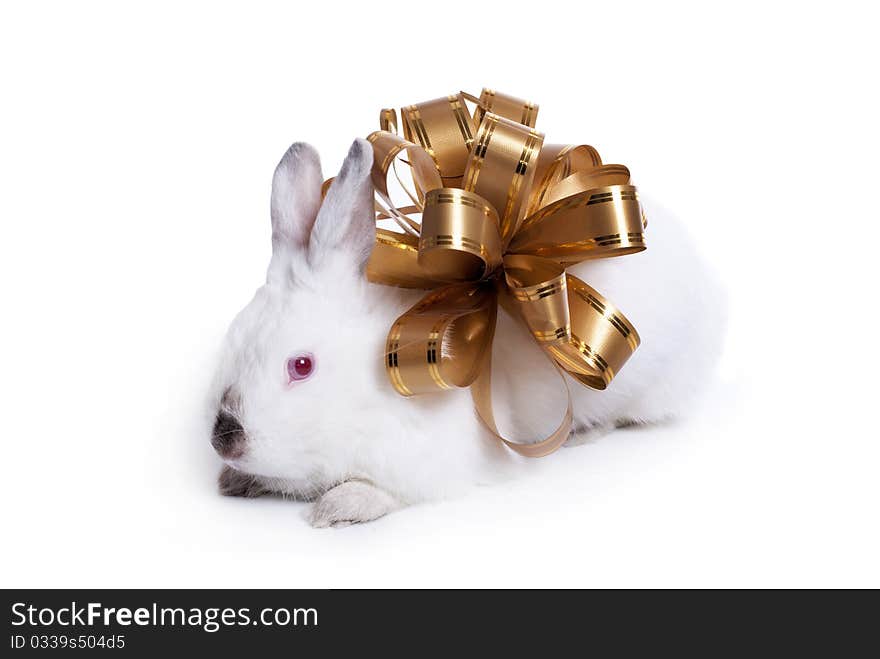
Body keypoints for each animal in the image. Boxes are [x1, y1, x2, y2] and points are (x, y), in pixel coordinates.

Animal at [210, 138, 724, 524]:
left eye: (301, 366)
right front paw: (234, 480)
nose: (223, 440)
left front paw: (339, 506)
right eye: (231, 341)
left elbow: (386, 490)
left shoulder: (426, 460)